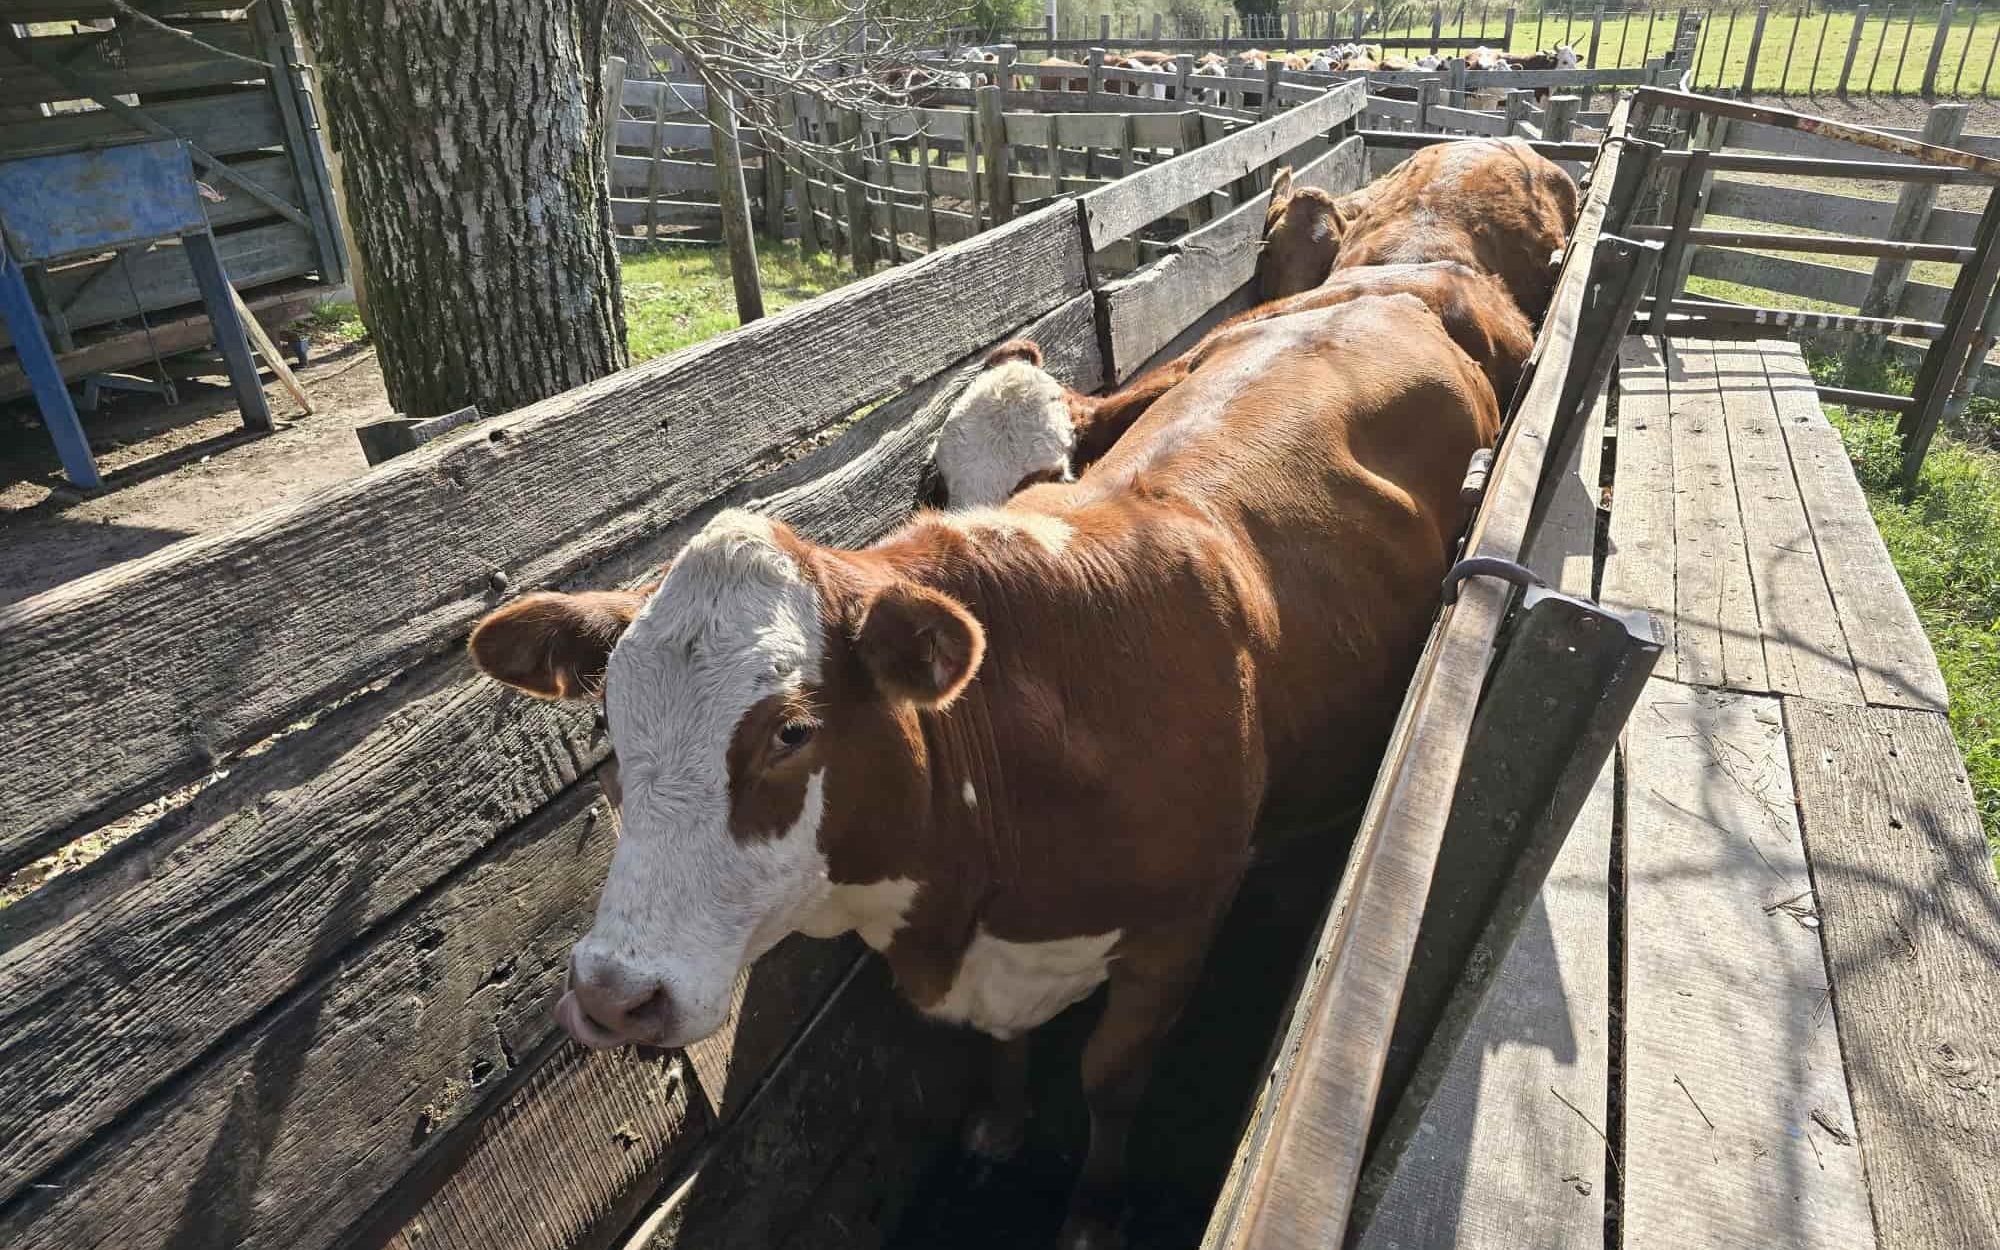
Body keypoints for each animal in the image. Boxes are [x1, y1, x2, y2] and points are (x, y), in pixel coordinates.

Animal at [467, 295, 1500, 1249]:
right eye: (608, 718)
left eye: (793, 731)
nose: (613, 994)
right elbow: (1004, 1048)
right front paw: (1001, 1125)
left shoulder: (1179, 931)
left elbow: (1110, 1076)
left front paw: (1094, 1212)